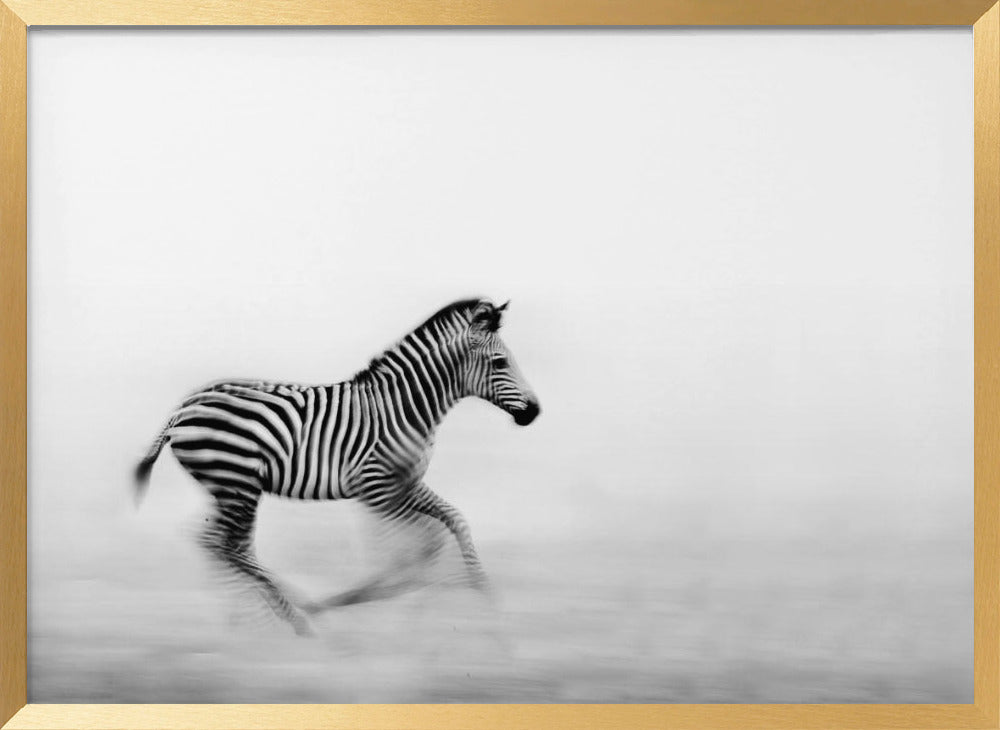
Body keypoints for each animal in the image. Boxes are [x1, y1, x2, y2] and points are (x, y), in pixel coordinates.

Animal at [134, 298, 540, 635]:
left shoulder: (405, 485)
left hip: (229, 487)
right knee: (224, 544)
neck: (406, 408)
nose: (534, 412)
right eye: (501, 362)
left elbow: (452, 524)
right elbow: (409, 551)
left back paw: (255, 620)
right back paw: (293, 617)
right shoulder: (377, 490)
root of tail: (183, 408)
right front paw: (376, 604)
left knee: (222, 544)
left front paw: (485, 596)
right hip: (238, 483)